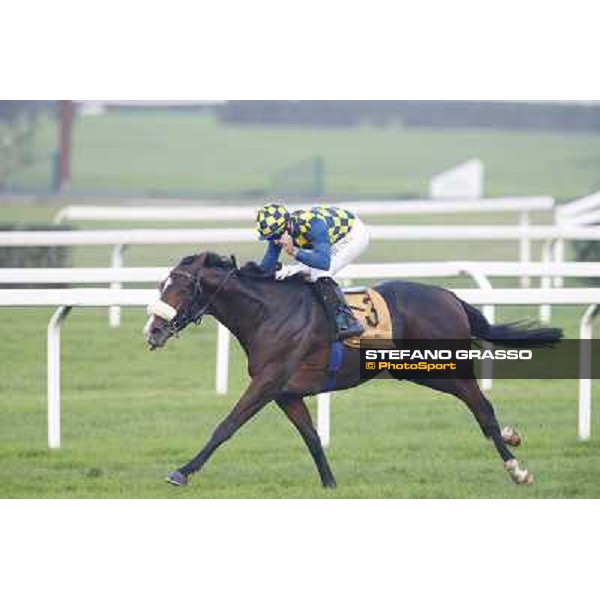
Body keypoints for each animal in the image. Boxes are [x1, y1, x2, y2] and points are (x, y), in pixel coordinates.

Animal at [143, 252, 560, 488]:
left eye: (182, 288)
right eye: (162, 285)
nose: (152, 331)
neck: (268, 313)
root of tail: (450, 296)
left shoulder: (268, 382)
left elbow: (226, 425)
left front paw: (182, 471)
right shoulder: (286, 393)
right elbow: (311, 437)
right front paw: (329, 483)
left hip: (446, 366)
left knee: (482, 408)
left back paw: (517, 469)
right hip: (422, 370)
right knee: (478, 407)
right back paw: (512, 437)